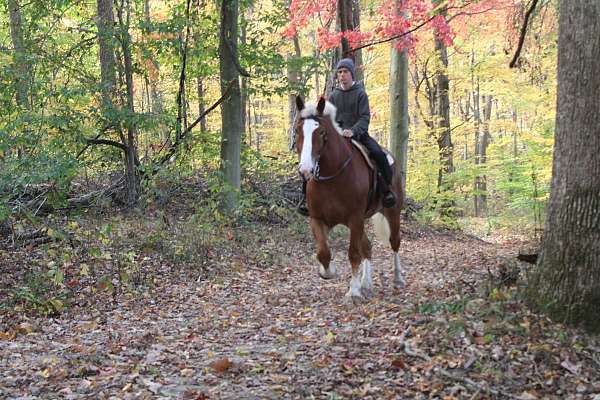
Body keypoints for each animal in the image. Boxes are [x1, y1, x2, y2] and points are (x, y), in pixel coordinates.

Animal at [292, 96, 406, 304]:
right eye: (297, 130)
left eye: (321, 132)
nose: (305, 170)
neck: (333, 175)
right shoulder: (318, 219)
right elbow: (323, 252)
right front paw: (329, 271)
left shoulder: (355, 219)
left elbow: (353, 254)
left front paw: (353, 291)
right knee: (367, 247)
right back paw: (366, 283)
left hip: (392, 211)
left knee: (394, 242)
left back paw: (397, 278)